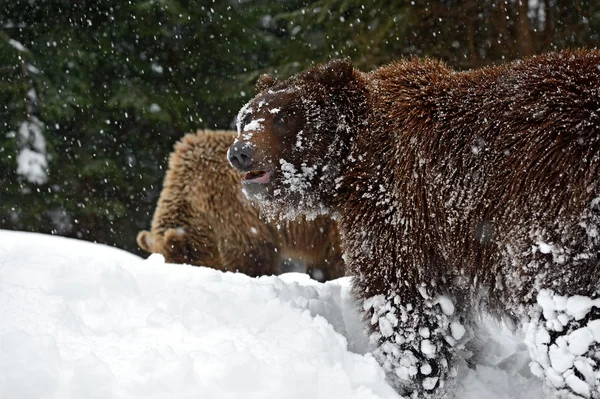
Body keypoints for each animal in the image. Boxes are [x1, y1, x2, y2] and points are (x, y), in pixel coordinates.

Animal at [227, 50, 600, 399]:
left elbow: (404, 303)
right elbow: (449, 310)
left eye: (285, 117)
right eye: (247, 117)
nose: (240, 152)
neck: (353, 166)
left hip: (553, 205)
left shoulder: (398, 209)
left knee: (567, 325)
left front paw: (417, 379)